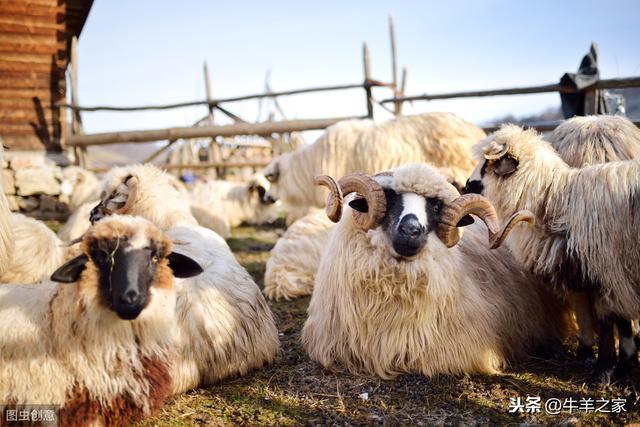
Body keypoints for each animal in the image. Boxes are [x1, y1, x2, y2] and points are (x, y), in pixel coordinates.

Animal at [462, 124, 640, 384]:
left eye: (488, 165)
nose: (466, 185)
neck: (557, 201)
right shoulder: (613, 272)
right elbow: (622, 320)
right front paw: (624, 367)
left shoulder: (606, 267)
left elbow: (609, 321)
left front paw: (604, 373)